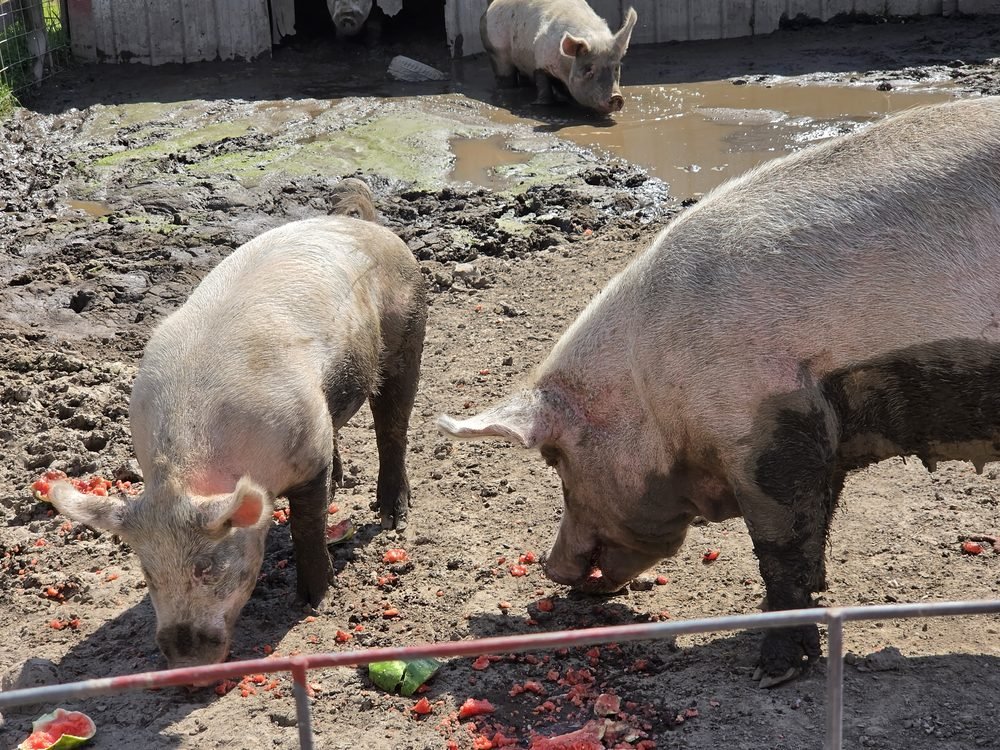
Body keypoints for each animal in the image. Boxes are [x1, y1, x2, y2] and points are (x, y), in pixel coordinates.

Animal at [49, 210, 426, 668]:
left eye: (208, 567)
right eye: (148, 573)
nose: (186, 664)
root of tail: (370, 227)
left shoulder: (307, 453)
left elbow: (306, 525)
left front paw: (315, 600)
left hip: (408, 328)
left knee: (393, 427)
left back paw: (392, 516)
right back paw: (343, 484)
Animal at [438, 96, 1000, 687]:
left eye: (555, 461)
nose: (549, 568)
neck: (653, 383)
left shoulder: (763, 422)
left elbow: (781, 546)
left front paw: (770, 671)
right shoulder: (822, 429)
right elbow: (817, 526)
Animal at [480, 0, 638, 114]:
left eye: (616, 68)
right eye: (589, 70)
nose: (616, 97)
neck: (566, 66)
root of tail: (490, 6)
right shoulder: (540, 61)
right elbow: (543, 82)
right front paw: (541, 104)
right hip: (497, 52)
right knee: (505, 77)